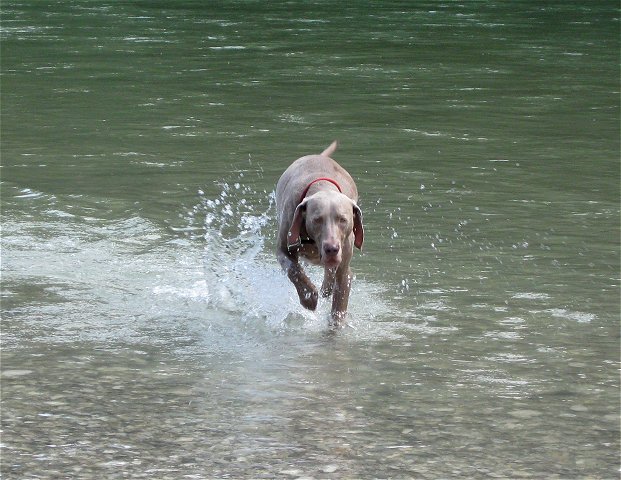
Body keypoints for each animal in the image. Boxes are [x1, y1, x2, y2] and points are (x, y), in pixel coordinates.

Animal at [276, 140, 364, 326]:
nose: (332, 249)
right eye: (317, 219)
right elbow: (294, 270)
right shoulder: (283, 249)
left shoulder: (344, 270)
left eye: (342, 219)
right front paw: (309, 297)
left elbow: (339, 303)